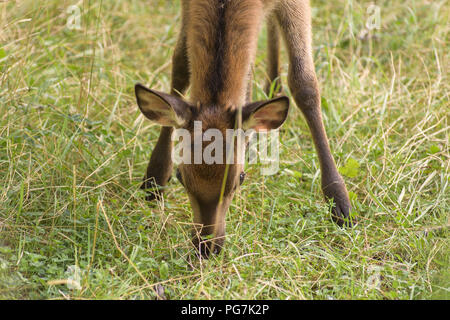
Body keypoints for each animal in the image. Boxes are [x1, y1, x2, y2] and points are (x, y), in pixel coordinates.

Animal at [135, 0, 354, 256]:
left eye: (240, 178)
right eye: (181, 176)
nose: (207, 246)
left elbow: (305, 84)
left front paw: (339, 203)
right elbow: (180, 64)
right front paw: (154, 179)